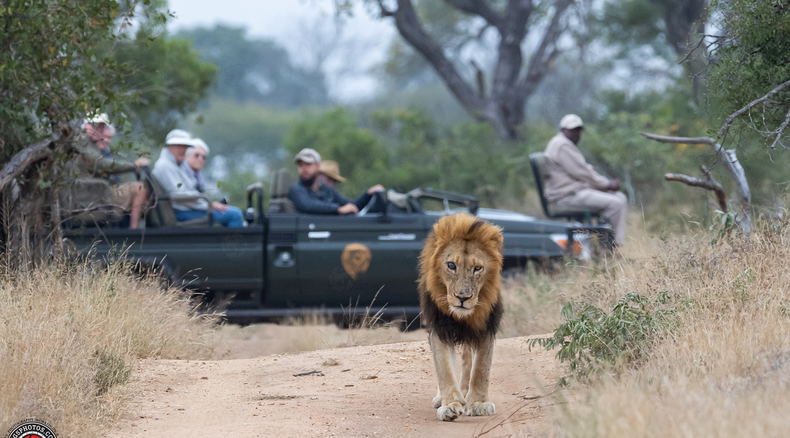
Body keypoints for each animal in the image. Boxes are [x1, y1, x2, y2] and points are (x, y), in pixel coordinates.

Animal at [417, 212, 504, 421]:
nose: (462, 298)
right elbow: (444, 368)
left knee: (467, 359)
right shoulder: (439, 327)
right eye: (451, 265)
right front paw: (450, 405)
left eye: (477, 268)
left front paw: (479, 404)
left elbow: (481, 368)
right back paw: (442, 398)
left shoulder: (486, 327)